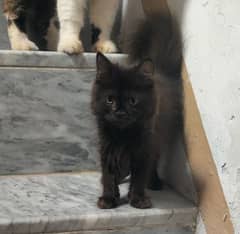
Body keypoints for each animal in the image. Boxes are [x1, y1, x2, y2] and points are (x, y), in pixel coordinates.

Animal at [91, 13, 183, 209]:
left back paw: (154, 182)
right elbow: (108, 174)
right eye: (110, 99)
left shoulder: (144, 147)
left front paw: (138, 199)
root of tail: (159, 71)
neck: (122, 134)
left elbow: (140, 174)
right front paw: (109, 197)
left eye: (132, 101)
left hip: (159, 137)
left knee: (154, 161)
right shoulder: (107, 146)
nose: (120, 112)